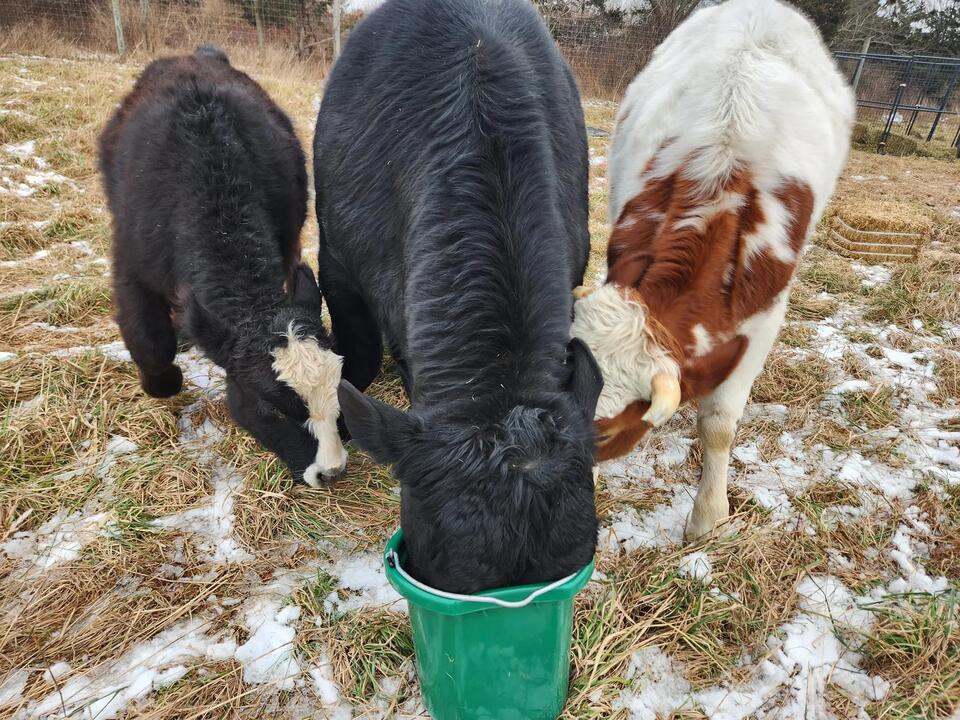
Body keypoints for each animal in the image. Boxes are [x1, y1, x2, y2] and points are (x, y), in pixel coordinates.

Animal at [100, 46, 347, 486]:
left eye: (339, 387)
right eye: (272, 409)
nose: (331, 472)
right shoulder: (131, 268)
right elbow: (150, 340)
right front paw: (164, 382)